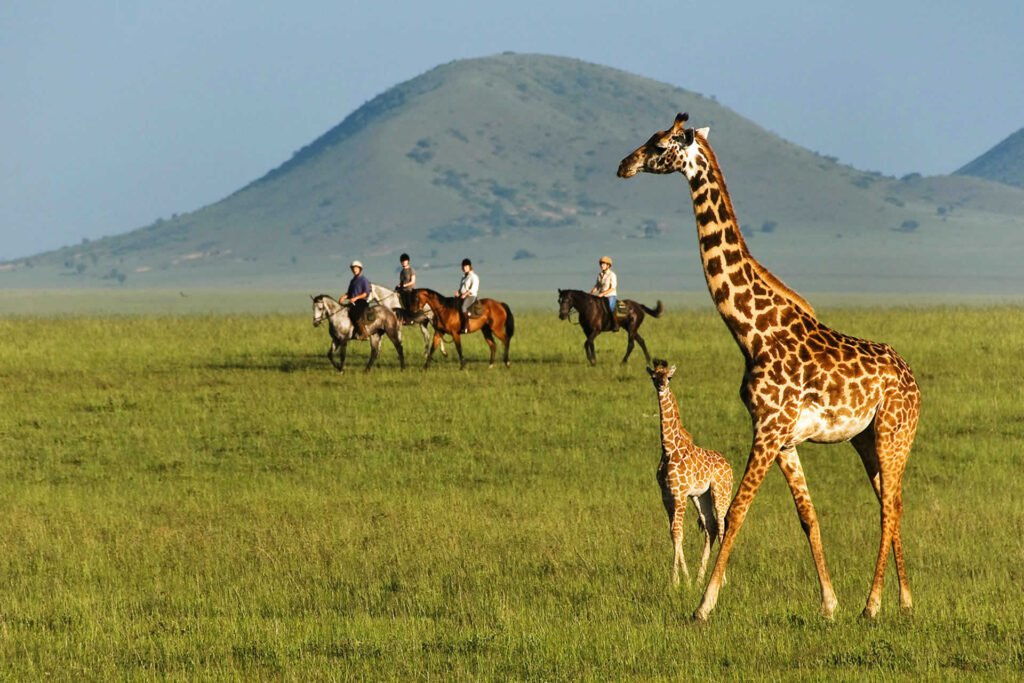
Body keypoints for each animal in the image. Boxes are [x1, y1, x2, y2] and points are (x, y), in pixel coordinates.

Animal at [647, 359, 733, 587]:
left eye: (669, 377)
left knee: (722, 526)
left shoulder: (680, 493)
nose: (661, 386)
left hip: (721, 492)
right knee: (711, 527)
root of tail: (729, 466)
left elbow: (678, 532)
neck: (669, 448)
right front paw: (685, 579)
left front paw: (676, 580)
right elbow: (673, 532)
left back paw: (722, 581)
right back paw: (700, 578)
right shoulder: (667, 495)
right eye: (654, 377)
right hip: (701, 496)